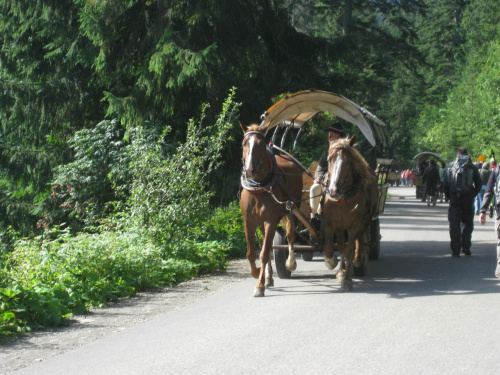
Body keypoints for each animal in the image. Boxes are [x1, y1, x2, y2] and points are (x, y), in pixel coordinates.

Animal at [240, 125, 302, 298]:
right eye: (244, 144)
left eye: (261, 144)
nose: (249, 170)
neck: (258, 188)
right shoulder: (249, 221)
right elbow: (252, 253)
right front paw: (258, 274)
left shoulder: (271, 221)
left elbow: (265, 252)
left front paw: (259, 285)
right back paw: (268, 276)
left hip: (292, 209)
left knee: (290, 236)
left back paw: (290, 262)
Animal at [322, 135, 376, 290]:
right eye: (329, 159)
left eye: (348, 161)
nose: (333, 190)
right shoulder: (331, 223)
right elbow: (332, 248)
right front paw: (335, 266)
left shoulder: (355, 224)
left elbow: (350, 249)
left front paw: (347, 279)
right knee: (342, 245)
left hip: (364, 221)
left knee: (359, 241)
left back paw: (356, 262)